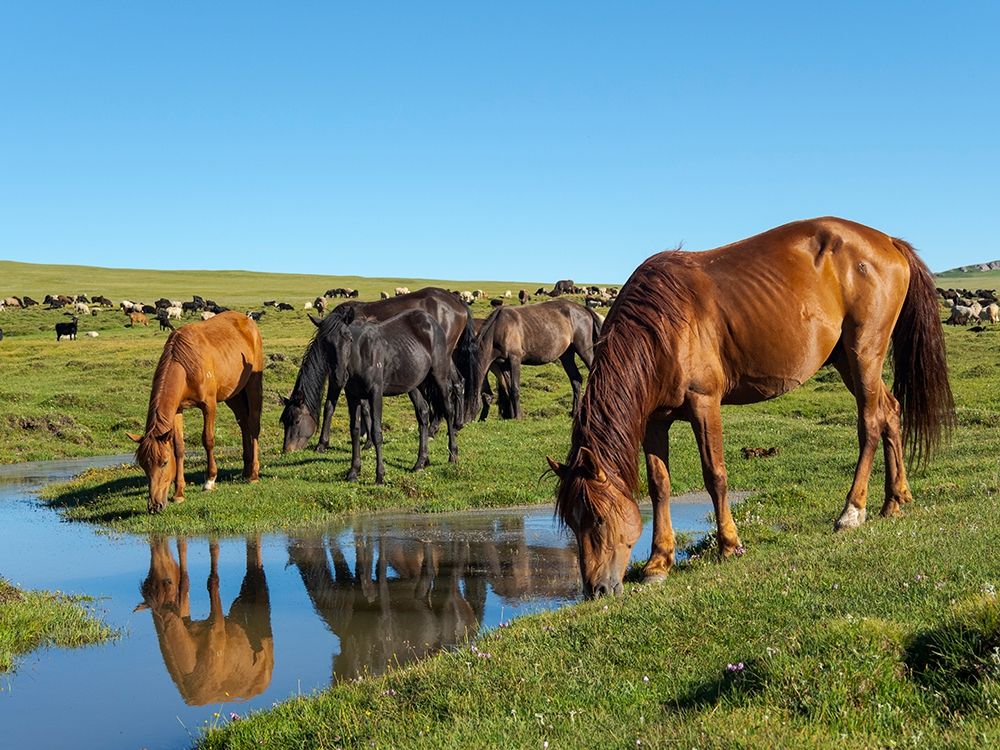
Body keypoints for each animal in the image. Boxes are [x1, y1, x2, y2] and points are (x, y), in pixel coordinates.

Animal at [127, 311, 264, 513]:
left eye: (164, 462)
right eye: (144, 465)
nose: (155, 506)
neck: (185, 366)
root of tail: (248, 320)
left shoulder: (209, 405)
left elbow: (208, 439)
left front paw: (210, 480)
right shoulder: (178, 410)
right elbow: (179, 447)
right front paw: (179, 493)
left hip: (253, 385)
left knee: (253, 424)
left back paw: (253, 474)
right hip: (233, 395)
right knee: (244, 423)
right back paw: (246, 470)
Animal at [135, 536, 273, 705]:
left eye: (168, 580)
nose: (158, 543)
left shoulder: (217, 626)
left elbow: (212, 580)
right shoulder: (184, 615)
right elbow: (184, 576)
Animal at [281, 310, 459, 484]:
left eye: (348, 338)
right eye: (324, 343)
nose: (287, 449)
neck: (359, 356)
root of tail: (432, 321)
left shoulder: (375, 393)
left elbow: (376, 432)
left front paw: (380, 476)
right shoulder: (352, 395)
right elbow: (354, 430)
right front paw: (354, 471)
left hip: (439, 376)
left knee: (448, 409)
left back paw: (453, 455)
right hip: (415, 385)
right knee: (423, 414)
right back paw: (421, 462)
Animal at [283, 287, 478, 452]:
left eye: (296, 420)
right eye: (284, 421)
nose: (287, 449)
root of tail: (457, 301)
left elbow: (353, 408)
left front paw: (359, 440)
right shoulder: (338, 375)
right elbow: (331, 406)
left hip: (442, 357)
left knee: (448, 387)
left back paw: (437, 428)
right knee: (458, 383)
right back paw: (455, 425)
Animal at [549, 217, 954, 598]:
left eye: (598, 519)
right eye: (572, 521)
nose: (596, 590)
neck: (661, 325)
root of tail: (889, 241)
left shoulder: (704, 404)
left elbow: (715, 475)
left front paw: (729, 546)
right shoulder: (654, 420)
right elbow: (658, 486)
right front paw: (658, 564)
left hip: (864, 353)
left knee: (870, 422)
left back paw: (852, 512)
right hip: (845, 360)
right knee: (890, 411)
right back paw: (895, 500)